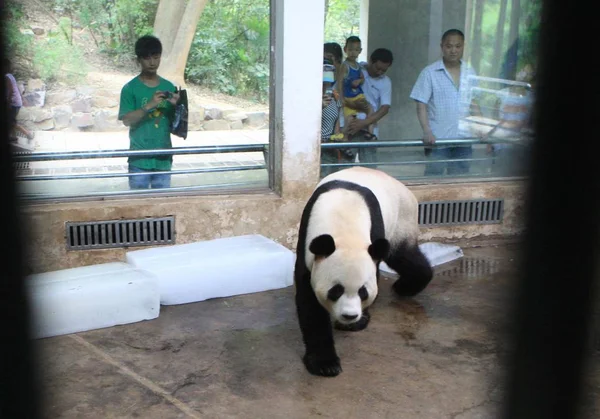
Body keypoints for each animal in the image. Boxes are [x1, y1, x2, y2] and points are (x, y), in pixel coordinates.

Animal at [294, 167, 432, 378]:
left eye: (363, 292)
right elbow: (309, 300)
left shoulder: (374, 239)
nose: (349, 316)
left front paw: (357, 323)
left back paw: (405, 286)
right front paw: (325, 363)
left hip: (401, 221)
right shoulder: (308, 244)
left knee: (403, 256)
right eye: (335, 291)